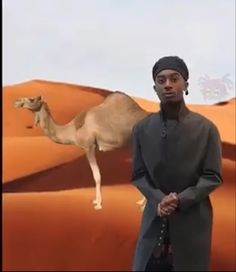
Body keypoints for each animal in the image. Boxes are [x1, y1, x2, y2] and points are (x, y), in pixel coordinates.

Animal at [14, 92, 151, 209]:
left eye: (32, 99)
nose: (16, 101)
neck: (73, 129)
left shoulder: (89, 146)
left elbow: (96, 175)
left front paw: (98, 204)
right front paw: (96, 201)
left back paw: (143, 205)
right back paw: (141, 202)